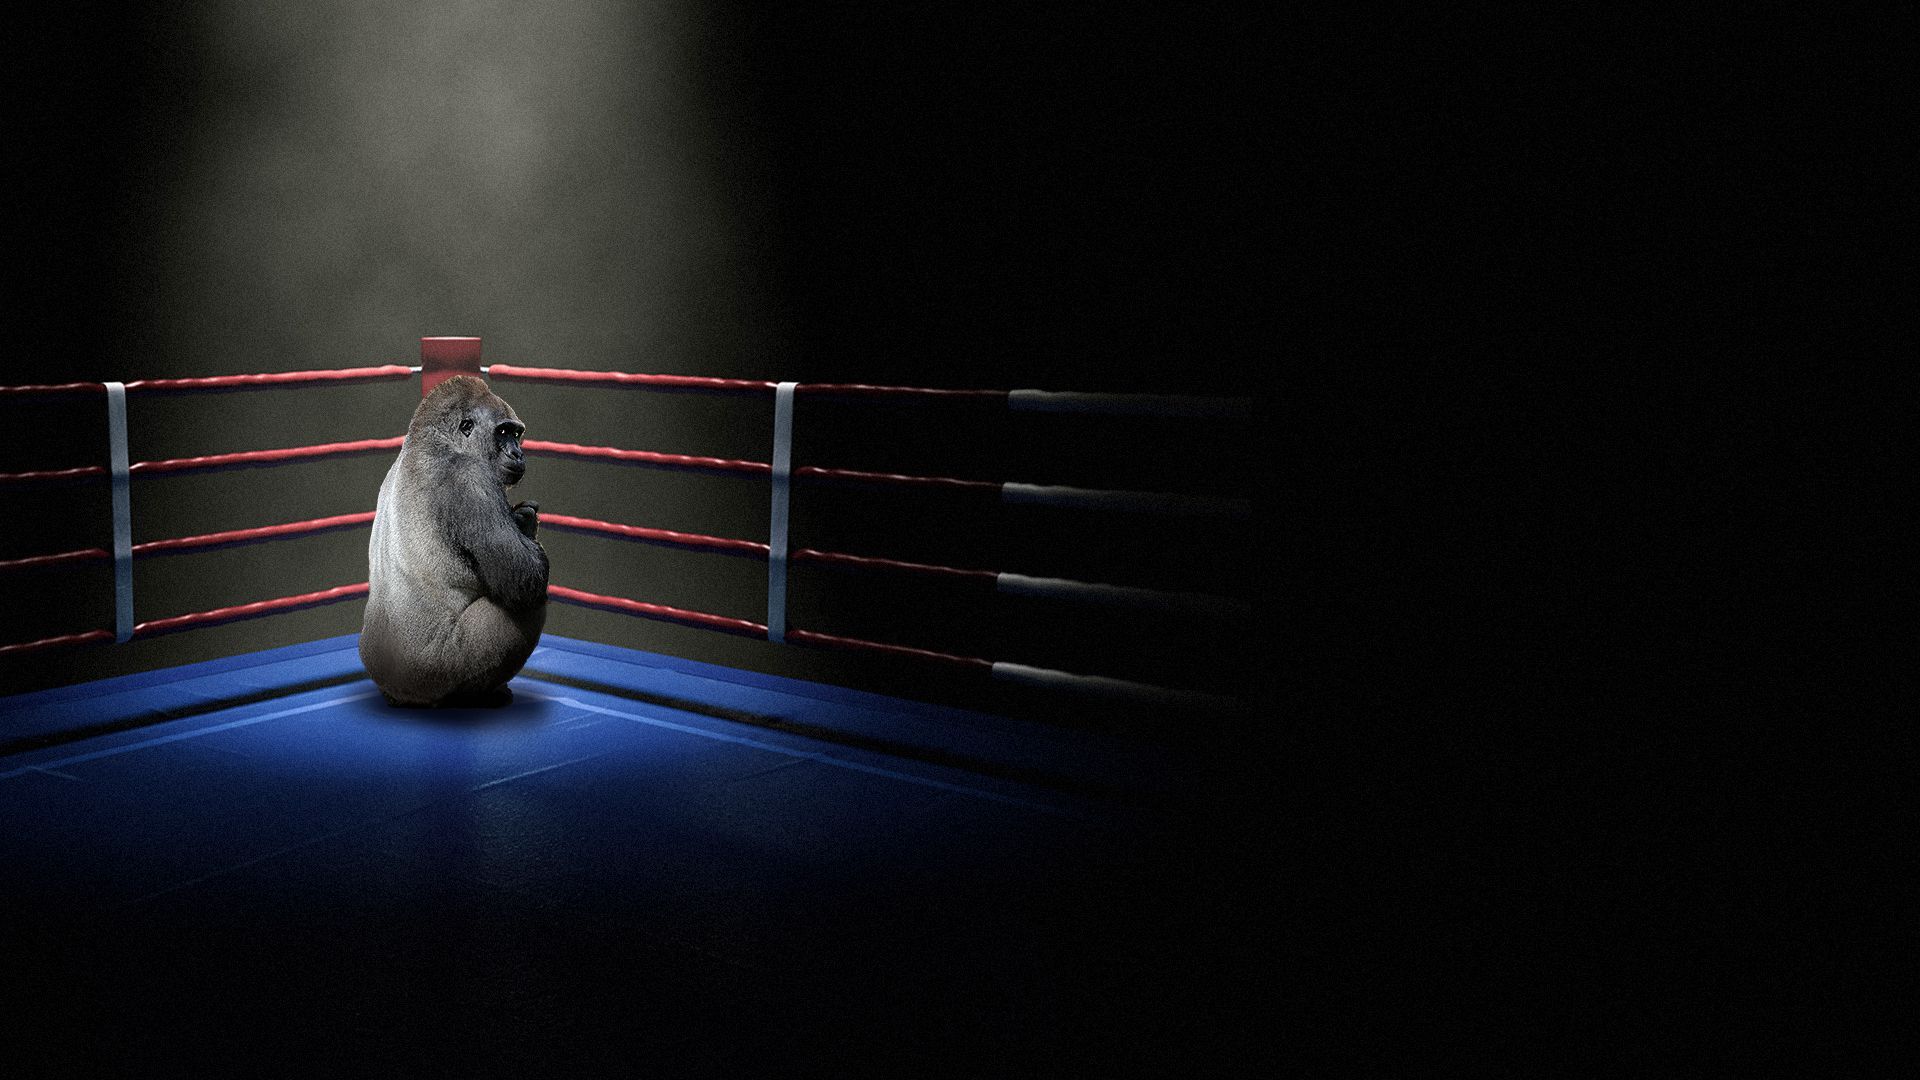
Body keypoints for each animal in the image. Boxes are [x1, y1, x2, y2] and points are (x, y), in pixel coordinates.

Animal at [360, 375, 547, 706]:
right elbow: (524, 578)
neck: (436, 441)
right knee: (529, 603)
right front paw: (525, 521)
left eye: (516, 434)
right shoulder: (470, 478)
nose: (518, 454)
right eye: (502, 432)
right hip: (435, 677)